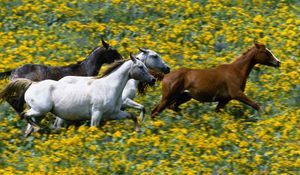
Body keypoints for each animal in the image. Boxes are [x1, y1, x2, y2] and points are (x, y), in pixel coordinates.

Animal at [0, 54, 155, 135]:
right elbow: (94, 129)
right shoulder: (97, 113)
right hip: (40, 110)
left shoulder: (113, 113)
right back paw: (40, 129)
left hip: (40, 114)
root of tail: (32, 84)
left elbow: (132, 115)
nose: (153, 80)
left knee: (29, 128)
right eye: (140, 67)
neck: (108, 87)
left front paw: (139, 130)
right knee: (24, 115)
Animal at [152, 42, 282, 117]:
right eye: (266, 52)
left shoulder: (224, 99)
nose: (278, 62)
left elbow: (217, 111)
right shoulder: (237, 94)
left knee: (172, 107)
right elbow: (255, 105)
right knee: (155, 111)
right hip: (168, 97)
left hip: (184, 96)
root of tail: (165, 76)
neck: (236, 70)